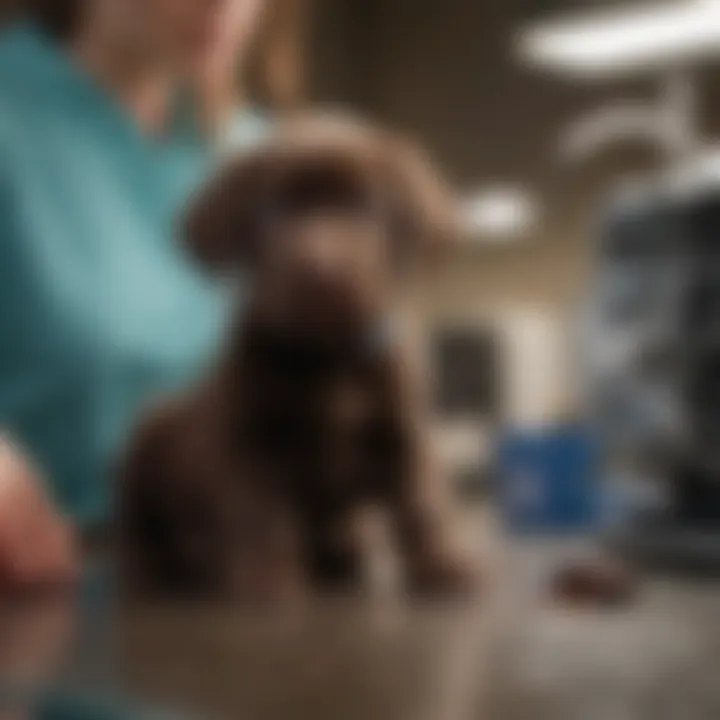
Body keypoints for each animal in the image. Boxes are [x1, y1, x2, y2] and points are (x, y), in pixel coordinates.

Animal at [119, 116, 478, 600]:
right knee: (139, 527)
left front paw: (443, 561)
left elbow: (424, 497)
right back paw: (156, 566)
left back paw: (345, 549)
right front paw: (266, 578)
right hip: (144, 440)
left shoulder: (404, 427)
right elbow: (259, 512)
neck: (327, 357)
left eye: (365, 208)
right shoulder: (249, 438)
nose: (320, 271)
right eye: (273, 211)